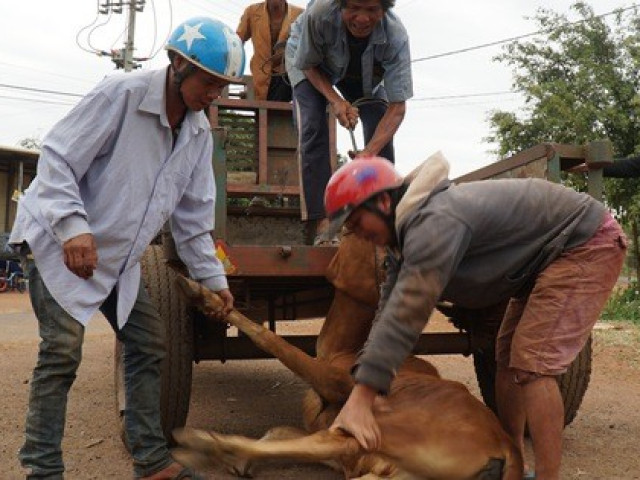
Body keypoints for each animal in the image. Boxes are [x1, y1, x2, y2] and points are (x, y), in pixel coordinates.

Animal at [172, 234, 524, 478]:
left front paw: (203, 295)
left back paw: (199, 443)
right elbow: (277, 432)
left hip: (369, 432)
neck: (344, 349)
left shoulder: (333, 383)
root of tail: (506, 450)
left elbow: (272, 340)